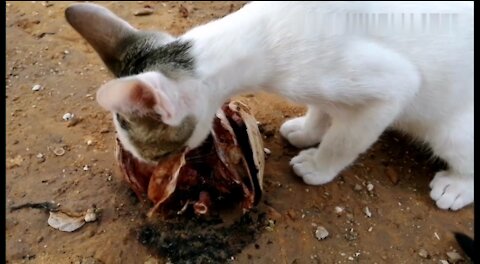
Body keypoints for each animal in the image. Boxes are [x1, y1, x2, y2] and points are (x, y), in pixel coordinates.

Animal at [65, 0, 474, 210]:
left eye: (157, 154)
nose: (156, 169)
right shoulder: (325, 91)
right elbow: (323, 110)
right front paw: (308, 132)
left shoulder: (393, 86)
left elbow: (343, 141)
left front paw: (319, 164)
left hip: (452, 131)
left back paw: (456, 187)